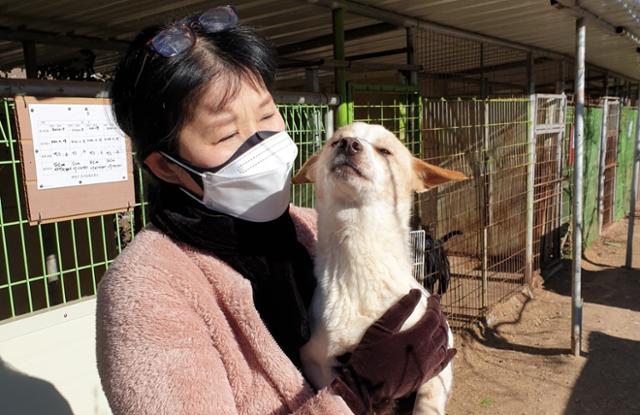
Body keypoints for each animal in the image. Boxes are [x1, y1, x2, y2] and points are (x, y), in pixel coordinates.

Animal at [294, 122, 464, 414]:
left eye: (385, 150)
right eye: (334, 141)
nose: (348, 144)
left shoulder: (441, 352)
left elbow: (428, 399)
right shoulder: (316, 360)